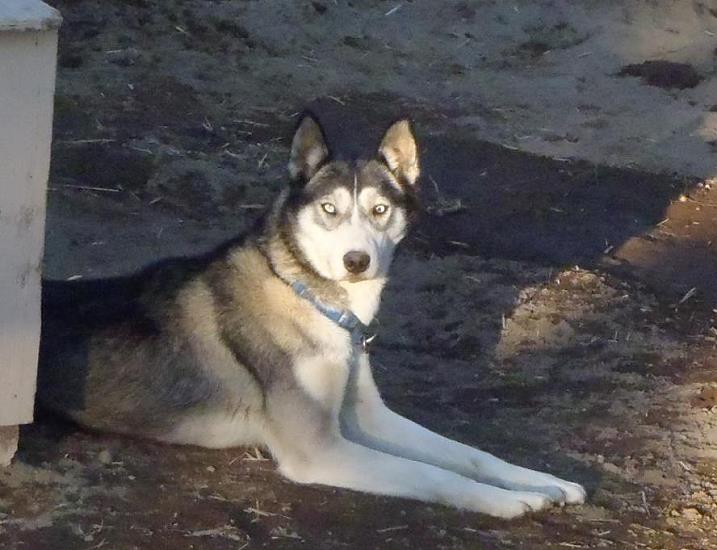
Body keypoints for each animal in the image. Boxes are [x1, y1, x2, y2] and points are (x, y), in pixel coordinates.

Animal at [38, 113, 586, 518]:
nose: (356, 261)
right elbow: (435, 474)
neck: (310, 296)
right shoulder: (320, 449)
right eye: (329, 209)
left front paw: (546, 481)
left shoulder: (367, 417)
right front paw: (510, 501)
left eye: (380, 210)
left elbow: (467, 453)